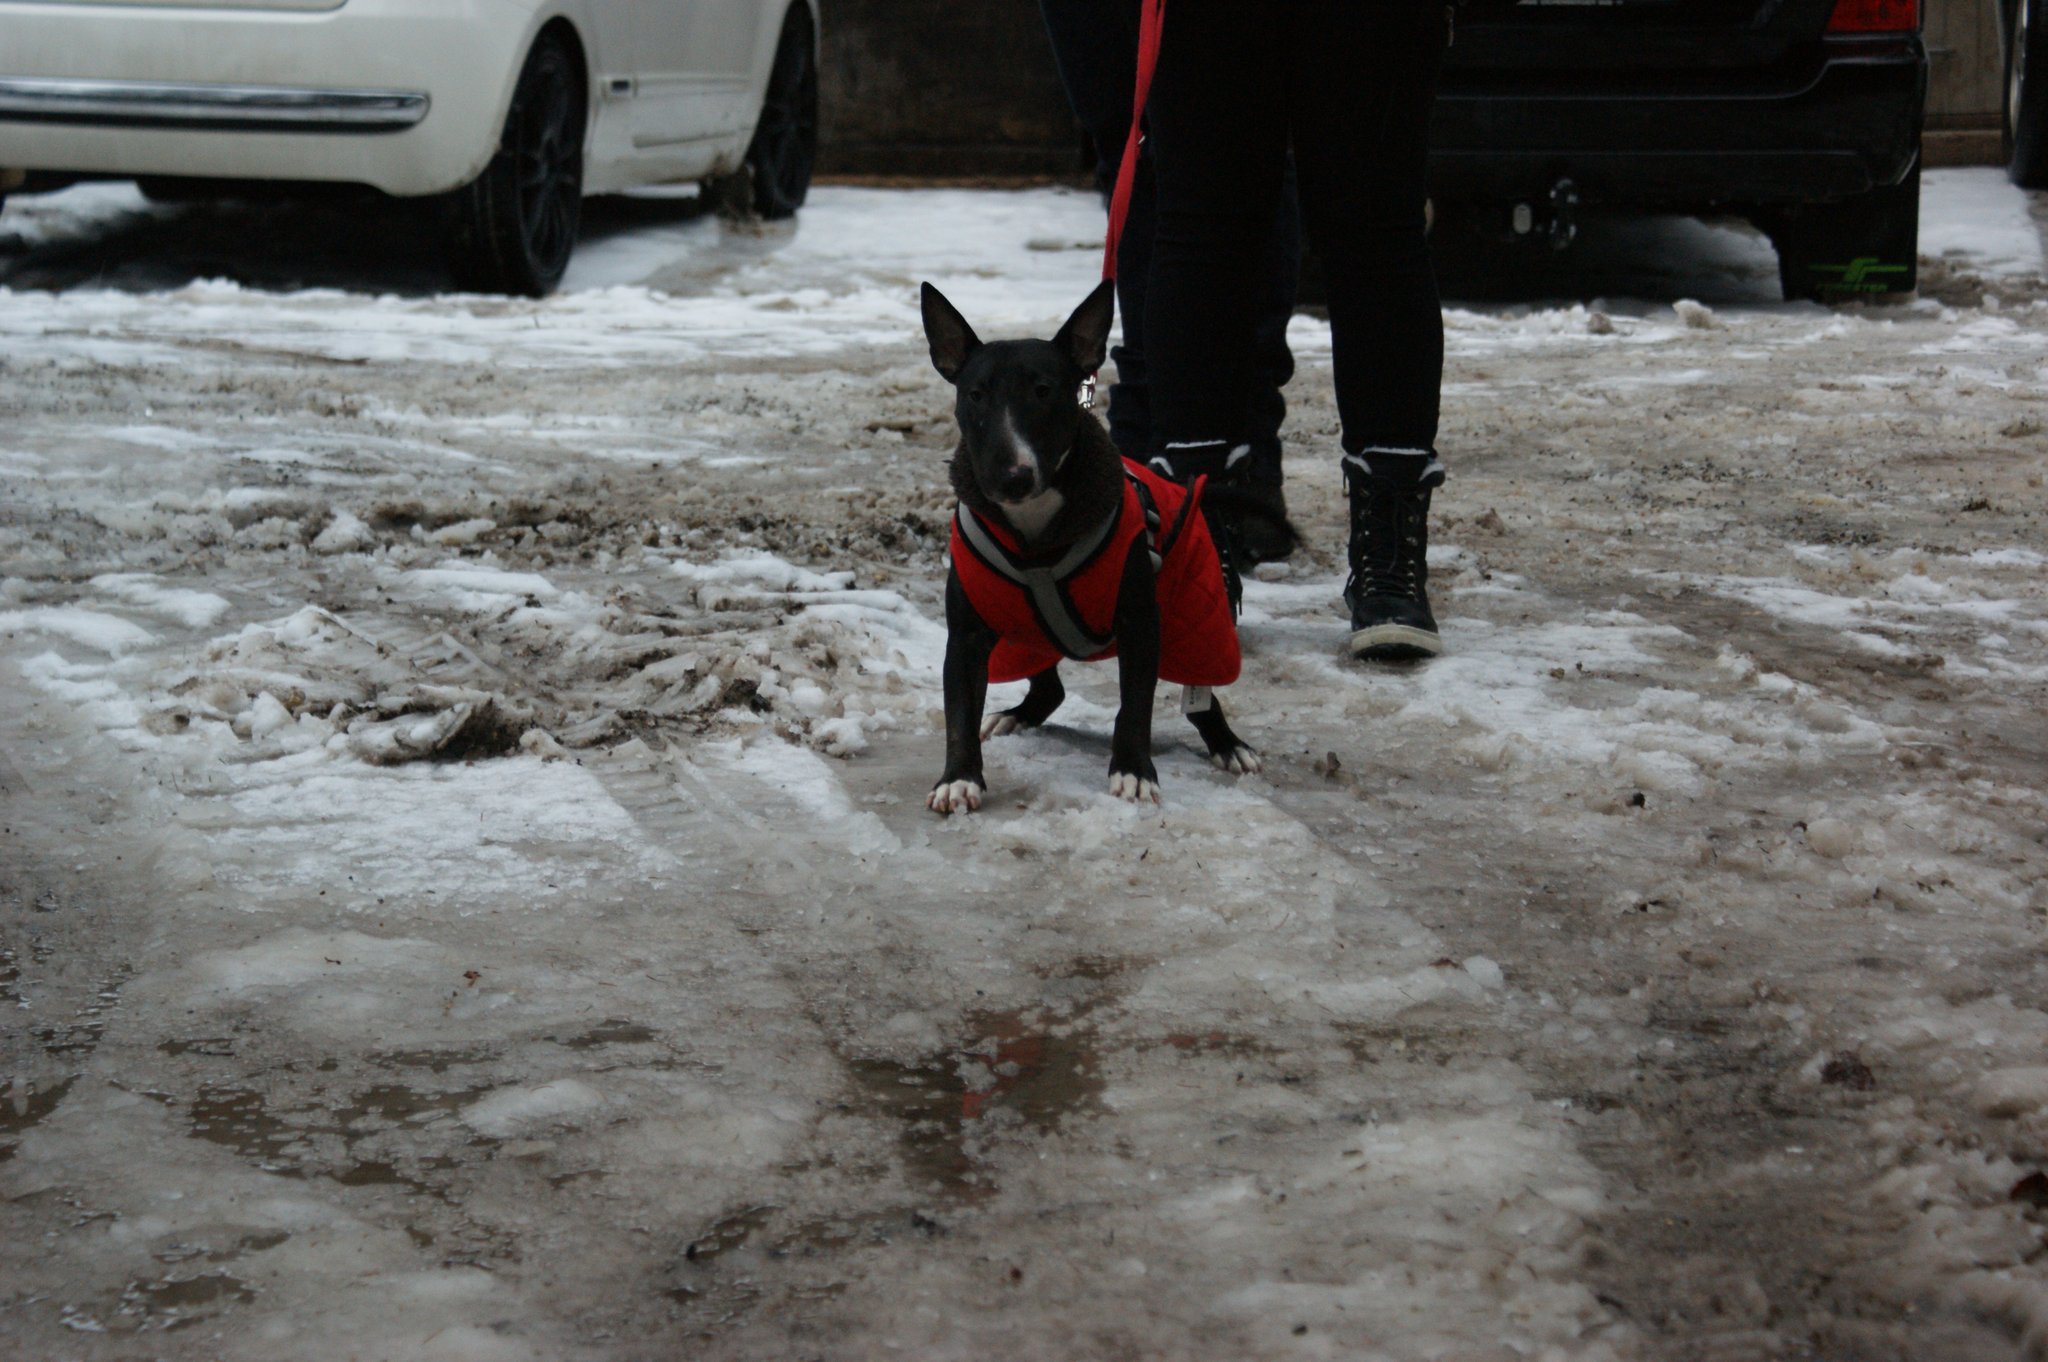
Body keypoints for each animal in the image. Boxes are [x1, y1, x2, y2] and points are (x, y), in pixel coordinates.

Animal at [920, 278, 1287, 814]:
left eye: (1044, 391)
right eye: (975, 395)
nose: (1013, 476)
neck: (1036, 532)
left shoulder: (1140, 624)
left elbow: (1135, 706)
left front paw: (1133, 772)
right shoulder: (968, 634)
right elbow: (961, 710)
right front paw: (958, 779)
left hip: (1197, 618)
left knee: (1203, 695)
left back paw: (1227, 744)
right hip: (1021, 636)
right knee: (1048, 688)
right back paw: (1017, 715)